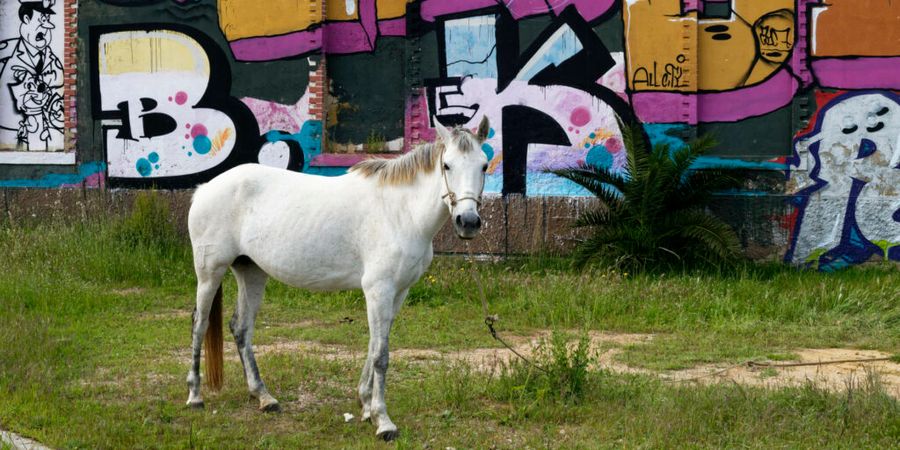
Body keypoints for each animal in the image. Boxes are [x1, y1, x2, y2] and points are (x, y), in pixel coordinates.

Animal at [185, 118, 488, 442]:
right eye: (447, 165)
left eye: (483, 165)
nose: (468, 222)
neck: (400, 211)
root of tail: (205, 188)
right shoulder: (378, 290)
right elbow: (381, 355)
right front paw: (383, 422)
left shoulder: (398, 293)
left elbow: (374, 344)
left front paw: (366, 406)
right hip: (209, 272)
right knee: (200, 324)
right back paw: (195, 396)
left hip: (251, 272)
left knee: (241, 328)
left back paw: (264, 397)